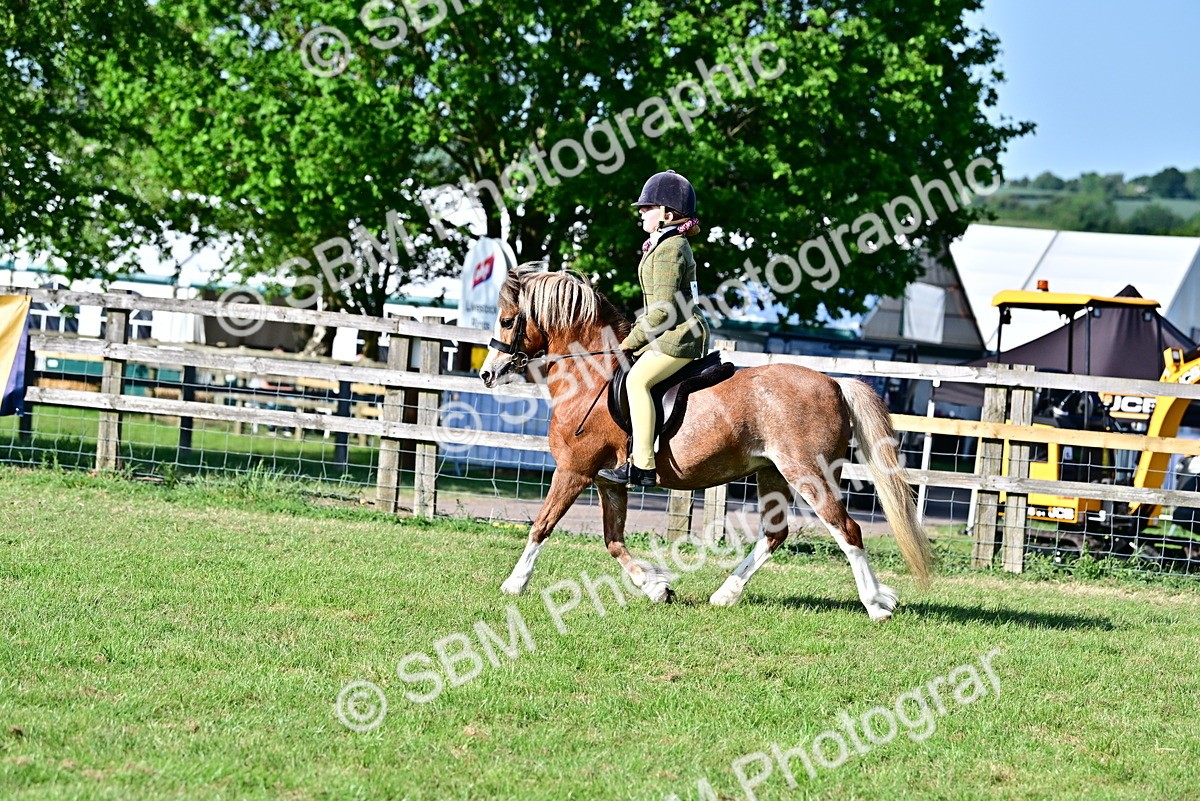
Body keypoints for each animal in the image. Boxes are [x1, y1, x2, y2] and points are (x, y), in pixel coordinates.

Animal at [478, 266, 932, 620]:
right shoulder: (609, 481)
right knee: (775, 534)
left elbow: (542, 526)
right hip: (772, 474)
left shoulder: (574, 470)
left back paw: (876, 604)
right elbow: (614, 542)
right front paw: (656, 588)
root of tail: (834, 382)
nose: (487, 373)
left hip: (807, 474)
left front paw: (514, 584)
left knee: (846, 530)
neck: (592, 375)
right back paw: (726, 593)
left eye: (506, 321)